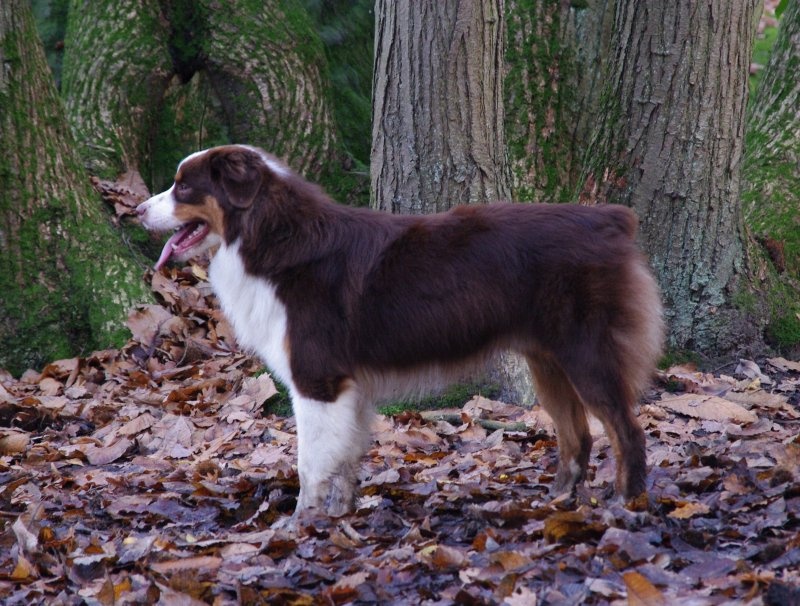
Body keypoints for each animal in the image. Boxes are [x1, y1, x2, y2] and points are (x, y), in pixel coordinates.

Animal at [138, 144, 664, 516]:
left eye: (183, 187)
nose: (136, 211)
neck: (269, 235)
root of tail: (611, 218)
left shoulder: (318, 379)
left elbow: (311, 463)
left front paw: (301, 524)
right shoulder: (349, 388)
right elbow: (343, 458)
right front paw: (338, 516)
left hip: (585, 354)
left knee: (626, 431)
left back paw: (625, 506)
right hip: (548, 362)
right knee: (577, 436)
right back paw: (557, 502)